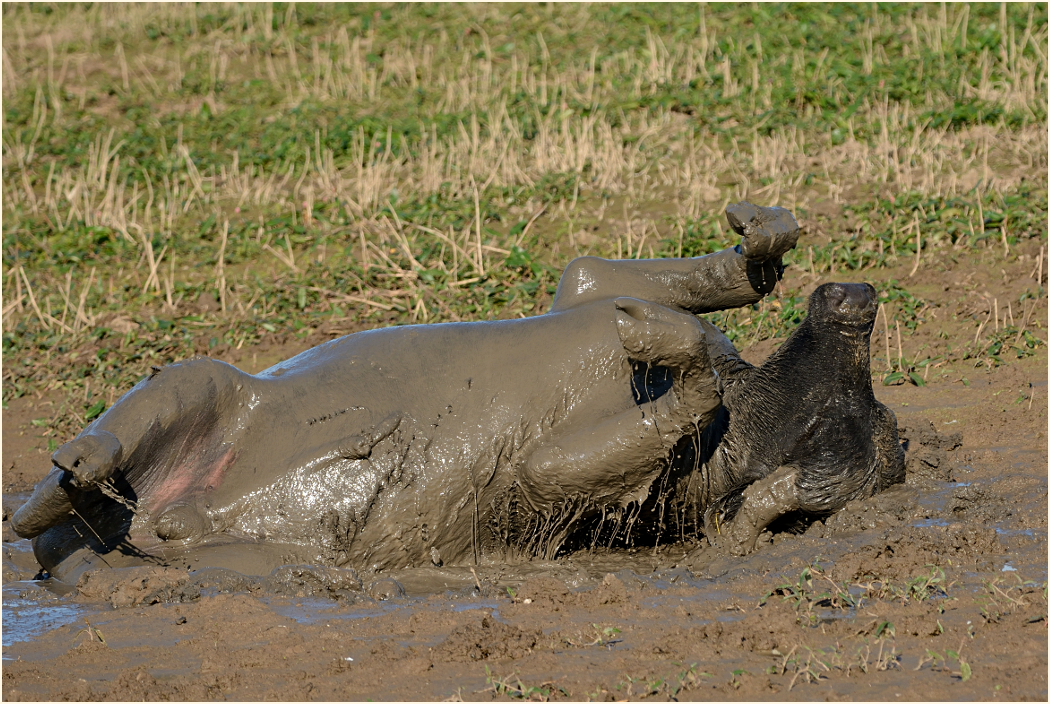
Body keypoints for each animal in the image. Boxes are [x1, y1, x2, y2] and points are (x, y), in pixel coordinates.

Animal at [12, 202, 907, 584]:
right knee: (148, 414)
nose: (855, 298)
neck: (749, 405)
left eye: (866, 439)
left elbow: (558, 463)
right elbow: (596, 272)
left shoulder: (604, 490)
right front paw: (762, 244)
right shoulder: (592, 291)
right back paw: (64, 479)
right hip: (206, 383)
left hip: (226, 567)